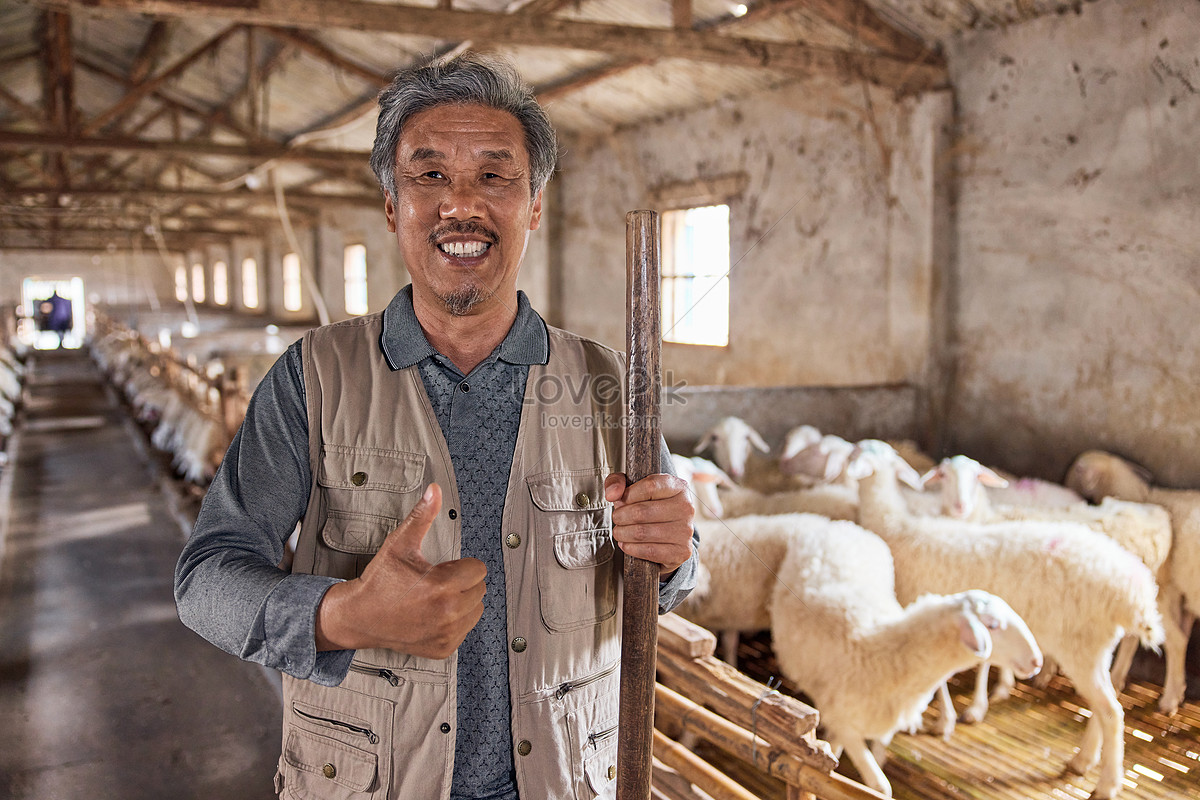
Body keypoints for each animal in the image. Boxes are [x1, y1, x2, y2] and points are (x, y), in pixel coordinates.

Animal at [768, 522, 1041, 796]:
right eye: (992, 625)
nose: (1037, 661)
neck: (887, 654)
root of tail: (837, 525)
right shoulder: (842, 719)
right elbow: (879, 786)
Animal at [849, 441, 1166, 796]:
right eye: (944, 475)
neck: (897, 527)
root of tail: (1133, 590)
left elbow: (942, 678)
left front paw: (945, 719)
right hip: (1098, 648)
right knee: (1103, 708)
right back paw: (1083, 760)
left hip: (1082, 648)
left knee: (1111, 712)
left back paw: (1107, 784)